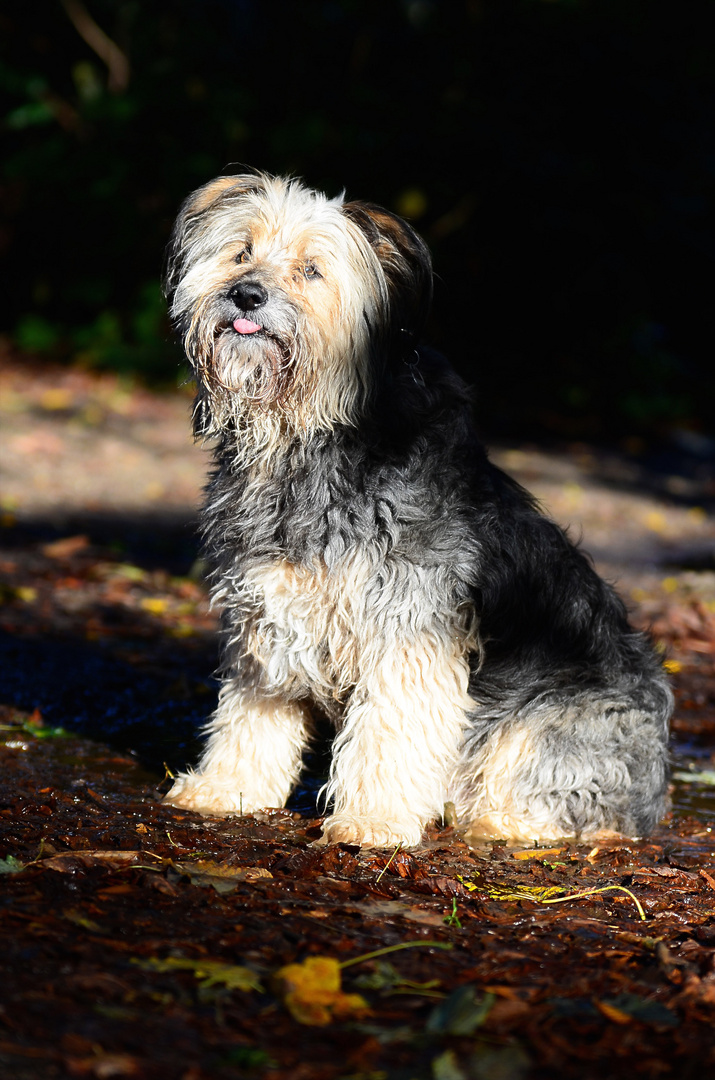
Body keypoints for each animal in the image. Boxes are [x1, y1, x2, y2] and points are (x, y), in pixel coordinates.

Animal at [162, 168, 673, 846]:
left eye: (311, 270)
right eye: (242, 252)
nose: (245, 295)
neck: (310, 438)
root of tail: (658, 793)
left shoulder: (407, 632)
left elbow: (391, 729)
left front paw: (372, 820)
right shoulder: (266, 617)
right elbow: (251, 715)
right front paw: (228, 788)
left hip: (559, 719)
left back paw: (495, 820)